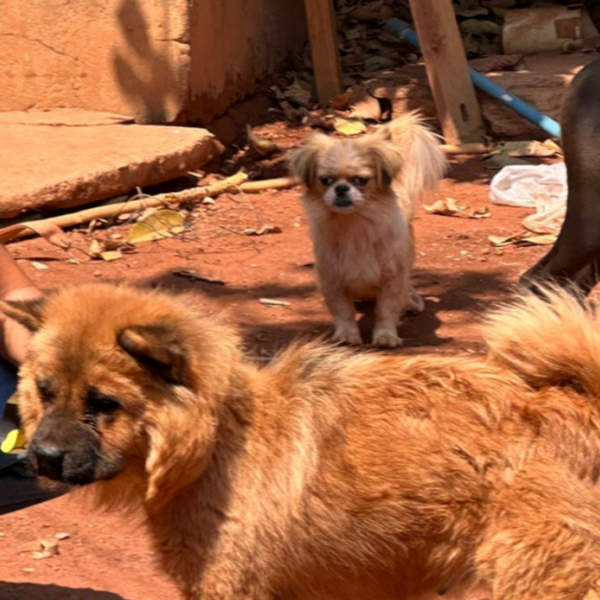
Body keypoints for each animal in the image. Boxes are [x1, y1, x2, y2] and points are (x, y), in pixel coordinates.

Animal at [1, 282, 600, 600]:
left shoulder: (229, 587)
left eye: (104, 403)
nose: (41, 459)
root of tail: (570, 406)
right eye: (44, 391)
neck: (222, 440)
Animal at [288, 112, 448, 346]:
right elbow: (343, 311)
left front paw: (385, 336)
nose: (341, 188)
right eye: (325, 180)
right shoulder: (332, 278)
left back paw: (409, 301)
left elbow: (386, 310)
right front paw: (347, 336)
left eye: (360, 180)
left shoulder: (392, 277)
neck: (354, 224)